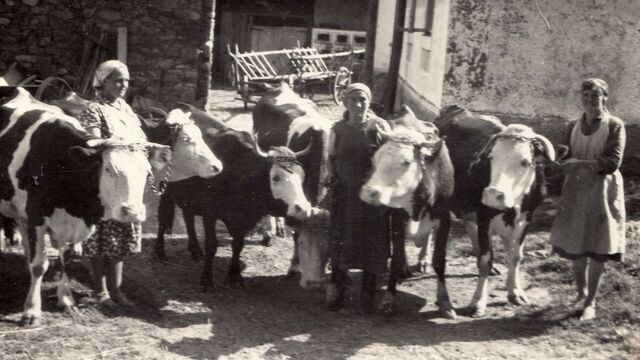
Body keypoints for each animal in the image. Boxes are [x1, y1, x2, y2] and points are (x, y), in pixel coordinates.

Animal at [0, 87, 170, 326]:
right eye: (108, 169)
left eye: (147, 173)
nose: (132, 212)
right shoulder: (37, 216)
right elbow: (40, 264)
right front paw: (31, 311)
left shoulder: (65, 223)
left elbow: (67, 260)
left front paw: (66, 300)